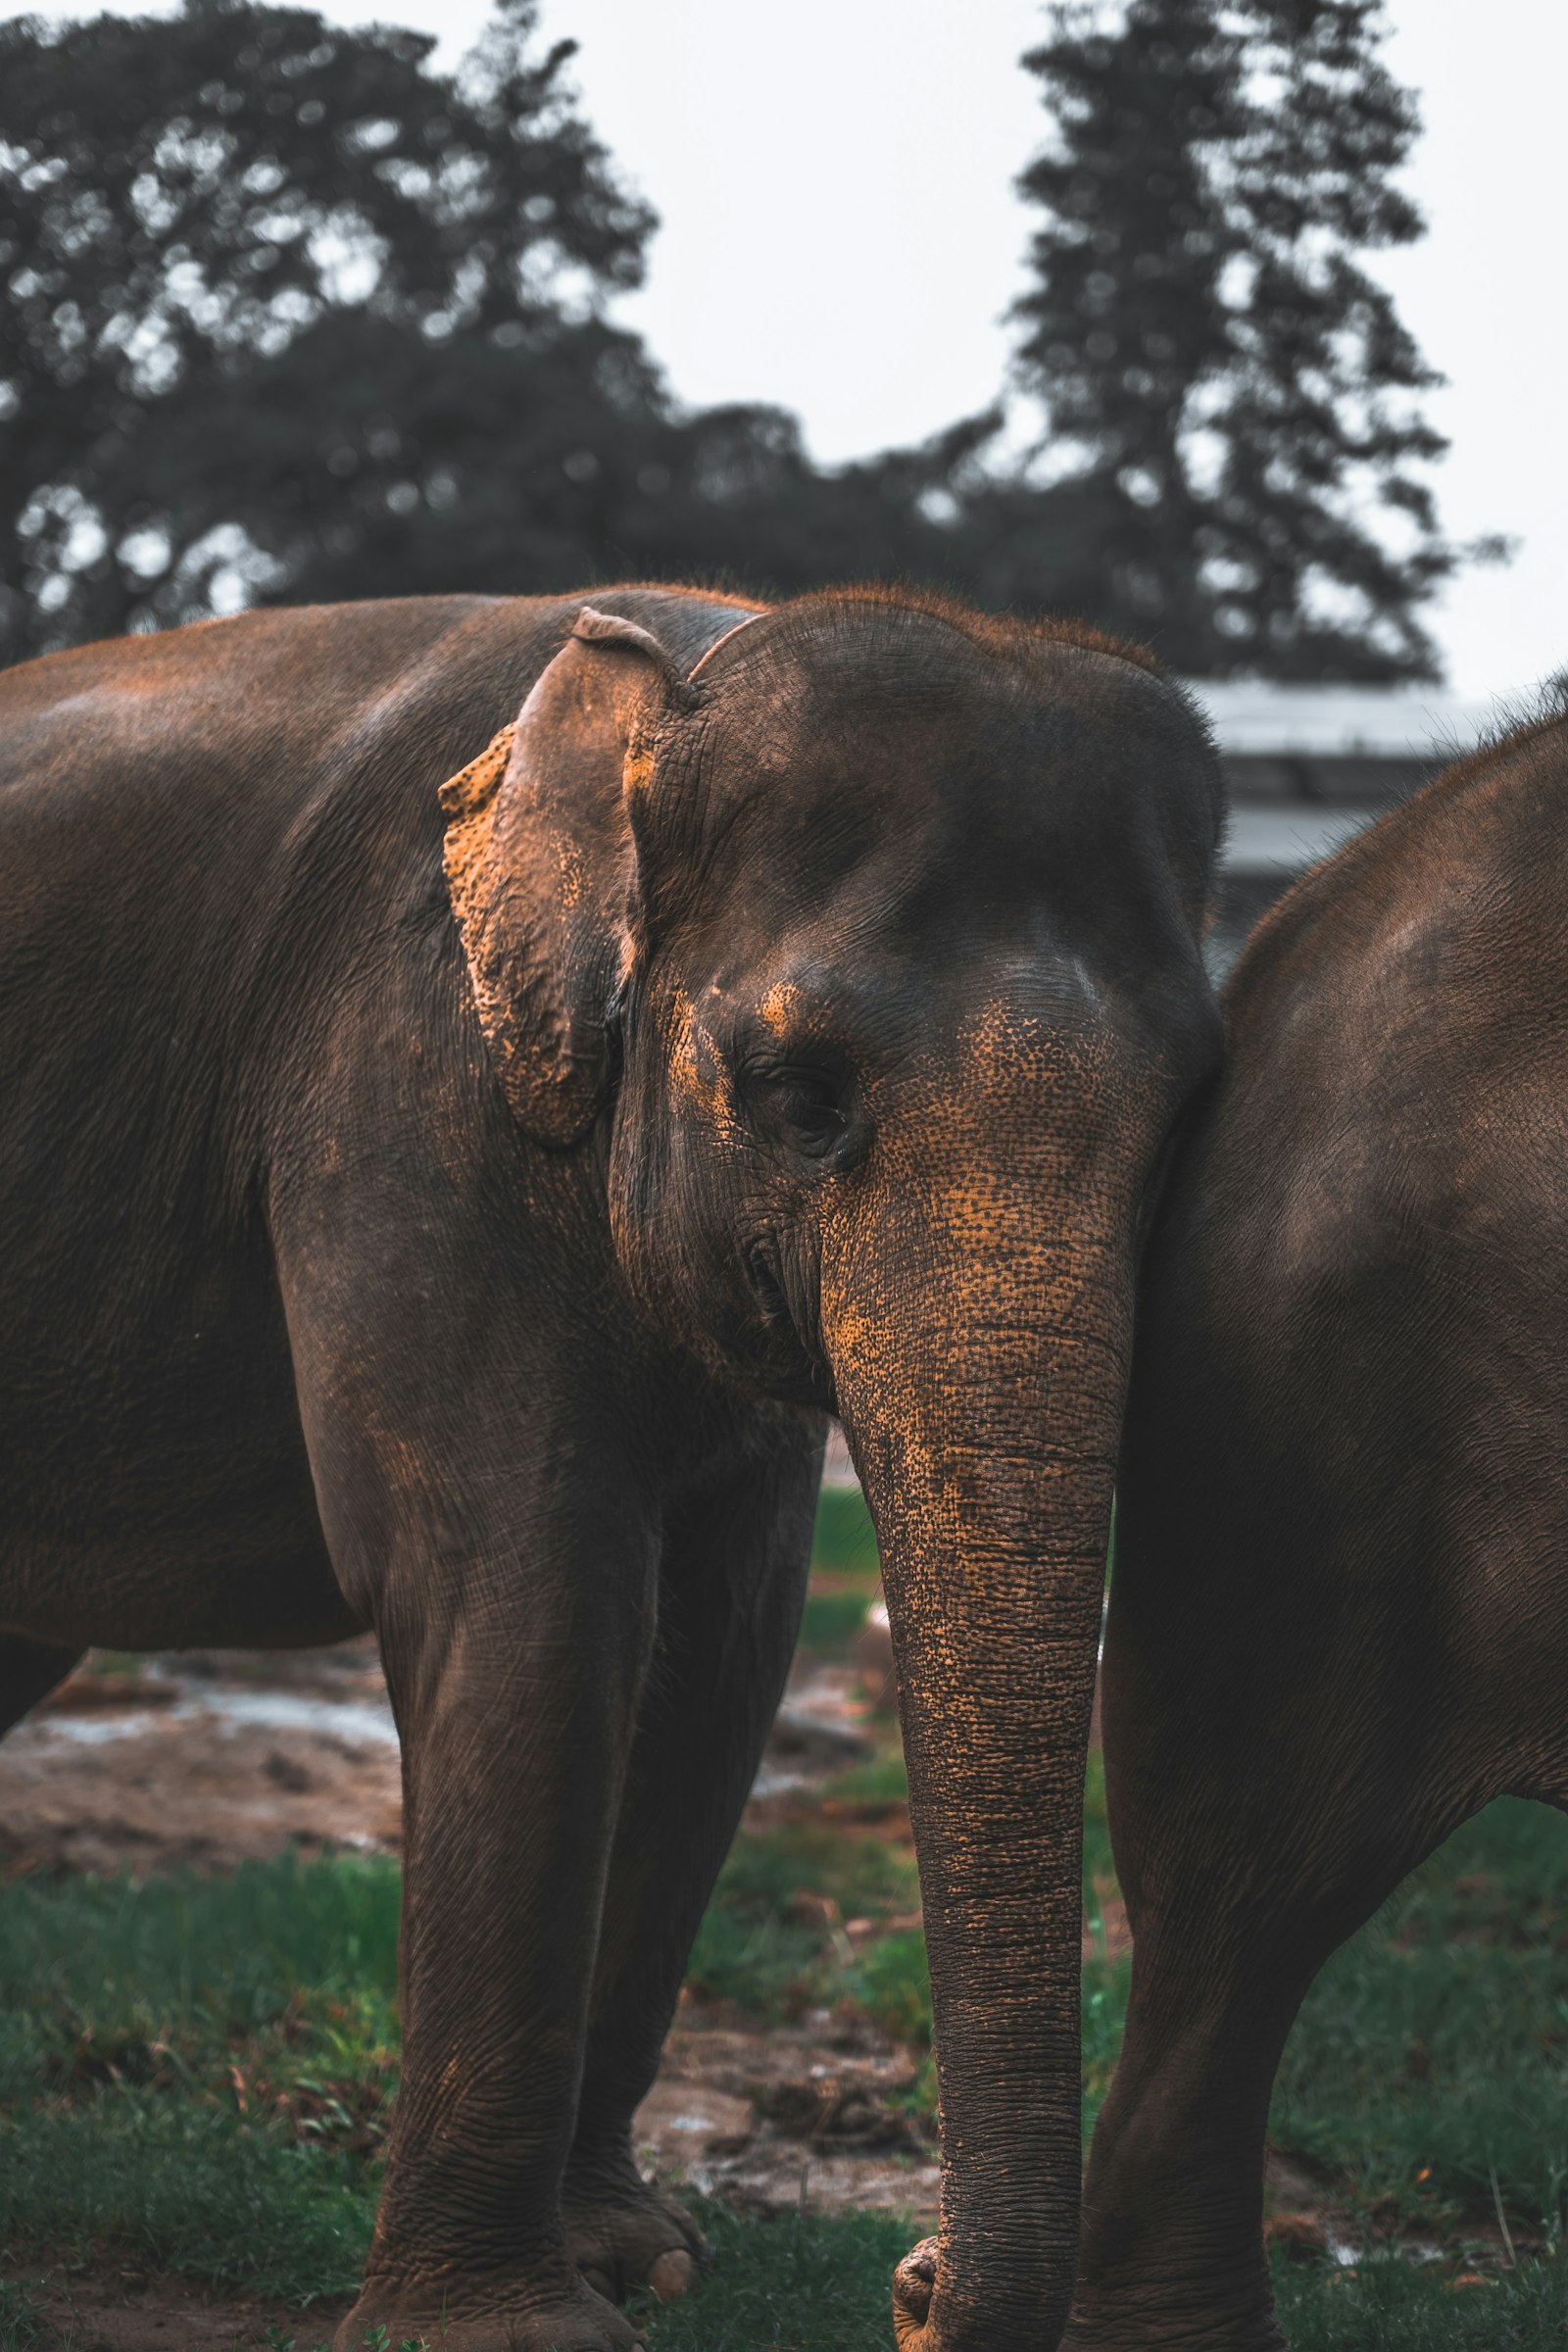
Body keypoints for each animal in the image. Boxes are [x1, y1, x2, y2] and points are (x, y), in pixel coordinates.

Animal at [0, 573, 1222, 2352]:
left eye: (1191, 1127)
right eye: (798, 1094)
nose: (913, 2281)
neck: (686, 671)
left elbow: (721, 1655)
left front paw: (640, 2260)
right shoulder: (411, 1082)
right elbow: (533, 1592)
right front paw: (510, 2326)